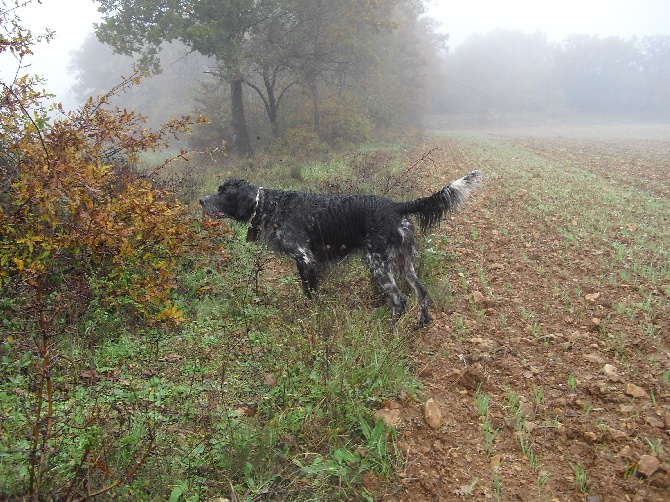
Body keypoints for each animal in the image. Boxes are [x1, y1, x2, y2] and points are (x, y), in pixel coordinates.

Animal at [200, 171, 484, 328]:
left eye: (224, 192)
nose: (201, 200)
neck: (271, 205)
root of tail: (395, 206)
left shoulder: (306, 259)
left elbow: (310, 294)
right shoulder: (304, 262)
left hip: (377, 263)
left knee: (399, 300)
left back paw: (390, 329)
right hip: (405, 262)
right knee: (421, 292)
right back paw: (422, 323)